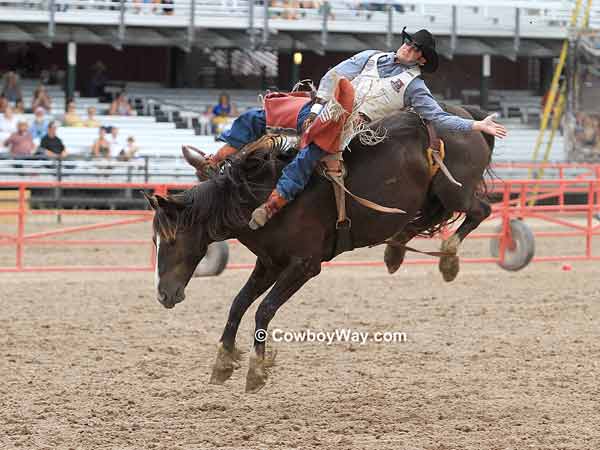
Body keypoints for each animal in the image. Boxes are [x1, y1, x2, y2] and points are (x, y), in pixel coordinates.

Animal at [144, 103, 492, 392]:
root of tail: (469, 117)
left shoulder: (305, 265)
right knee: (423, 220)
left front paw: (257, 369)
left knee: (480, 211)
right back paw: (395, 252)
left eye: (172, 240)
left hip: (455, 192)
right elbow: (238, 304)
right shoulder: (269, 263)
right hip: (431, 197)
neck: (260, 198)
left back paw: (448, 259)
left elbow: (263, 309)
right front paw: (223, 361)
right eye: (154, 240)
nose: (163, 295)